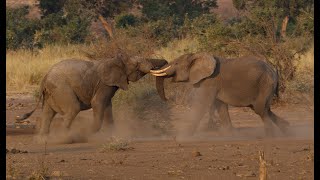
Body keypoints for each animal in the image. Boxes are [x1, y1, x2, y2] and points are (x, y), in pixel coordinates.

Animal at [16, 53, 168, 138]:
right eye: (137, 64)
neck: (114, 60)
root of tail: (44, 78)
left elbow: (107, 107)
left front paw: (111, 134)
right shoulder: (104, 84)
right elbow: (98, 103)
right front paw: (87, 132)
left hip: (51, 94)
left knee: (47, 113)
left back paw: (44, 138)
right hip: (61, 89)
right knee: (73, 108)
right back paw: (66, 137)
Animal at [150, 52, 290, 136]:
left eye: (176, 63)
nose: (167, 99)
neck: (198, 55)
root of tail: (274, 70)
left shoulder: (209, 81)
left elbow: (202, 104)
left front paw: (183, 137)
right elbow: (221, 107)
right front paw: (231, 136)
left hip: (265, 84)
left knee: (261, 110)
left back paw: (270, 136)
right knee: (265, 110)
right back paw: (287, 130)